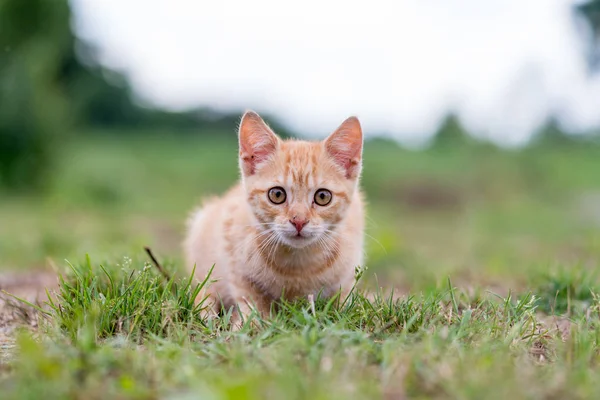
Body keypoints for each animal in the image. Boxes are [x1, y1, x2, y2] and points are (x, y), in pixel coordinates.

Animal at [183, 110, 364, 324]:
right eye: (277, 195)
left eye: (322, 197)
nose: (299, 221)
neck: (297, 267)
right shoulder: (232, 249)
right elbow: (249, 297)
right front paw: (251, 322)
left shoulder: (349, 268)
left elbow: (343, 301)